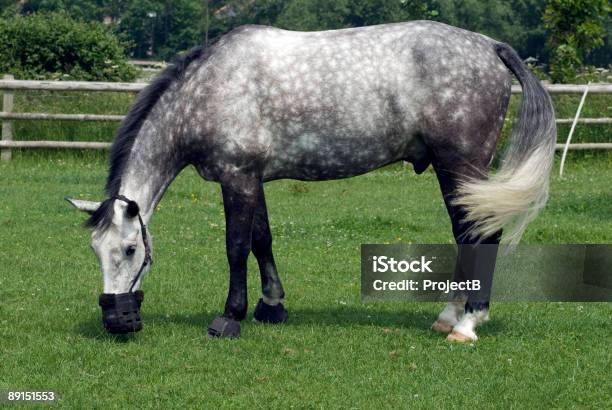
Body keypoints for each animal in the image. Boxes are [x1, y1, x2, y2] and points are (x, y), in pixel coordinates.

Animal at [67, 21, 556, 342]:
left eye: (131, 249)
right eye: (95, 250)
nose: (115, 320)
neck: (207, 89)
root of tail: (490, 46)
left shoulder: (237, 178)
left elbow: (236, 246)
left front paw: (230, 317)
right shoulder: (253, 179)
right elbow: (262, 240)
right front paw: (271, 306)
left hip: (461, 165)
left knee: (480, 235)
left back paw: (467, 324)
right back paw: (450, 315)